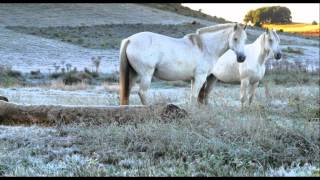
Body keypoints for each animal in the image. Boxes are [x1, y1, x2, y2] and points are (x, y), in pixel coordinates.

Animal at [120, 23, 248, 106]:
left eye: (245, 39)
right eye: (235, 38)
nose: (242, 58)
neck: (205, 47)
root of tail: (129, 40)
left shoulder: (194, 78)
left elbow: (193, 96)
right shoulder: (200, 77)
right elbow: (194, 96)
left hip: (134, 74)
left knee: (127, 91)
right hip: (146, 75)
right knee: (142, 93)